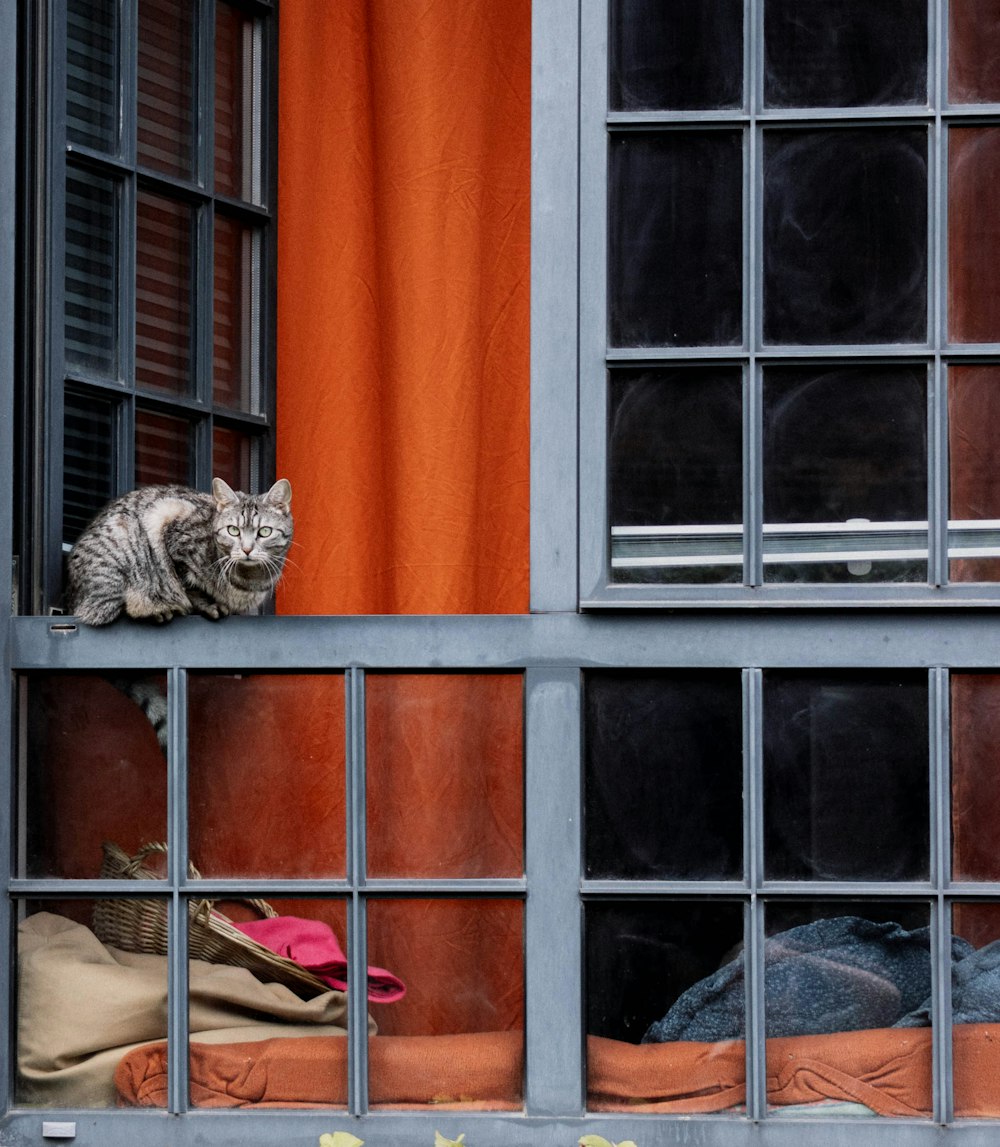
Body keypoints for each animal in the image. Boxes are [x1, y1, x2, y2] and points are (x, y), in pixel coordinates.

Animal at [65, 477, 292, 628]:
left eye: (264, 532)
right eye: (233, 530)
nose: (246, 549)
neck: (249, 579)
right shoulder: (169, 522)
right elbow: (188, 584)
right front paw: (208, 603)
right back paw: (157, 609)